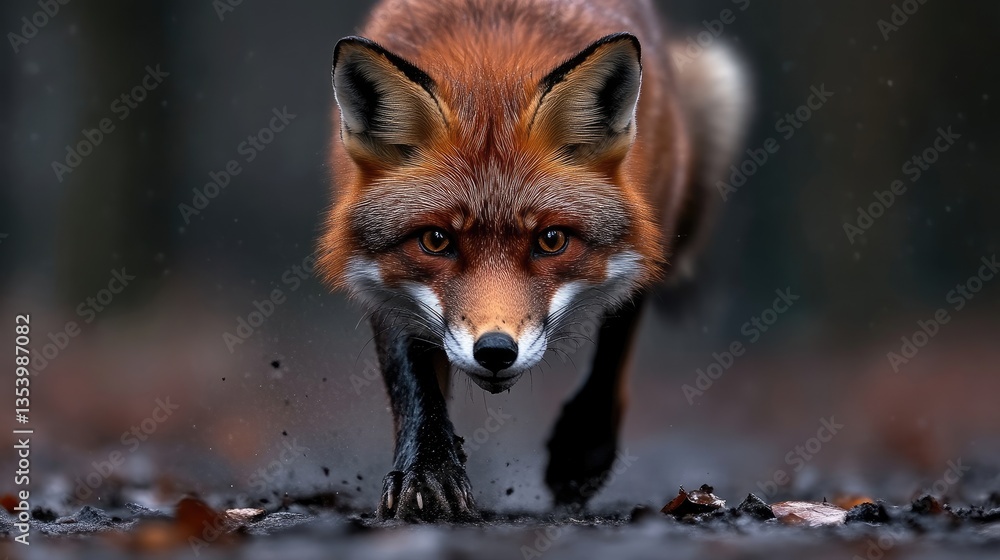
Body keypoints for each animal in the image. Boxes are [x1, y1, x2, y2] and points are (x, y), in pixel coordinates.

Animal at [318, 0, 749, 521]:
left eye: (551, 241)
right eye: (436, 241)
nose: (495, 351)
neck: (488, 64)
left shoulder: (647, 232)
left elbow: (617, 339)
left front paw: (582, 448)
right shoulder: (379, 273)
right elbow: (413, 383)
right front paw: (427, 470)